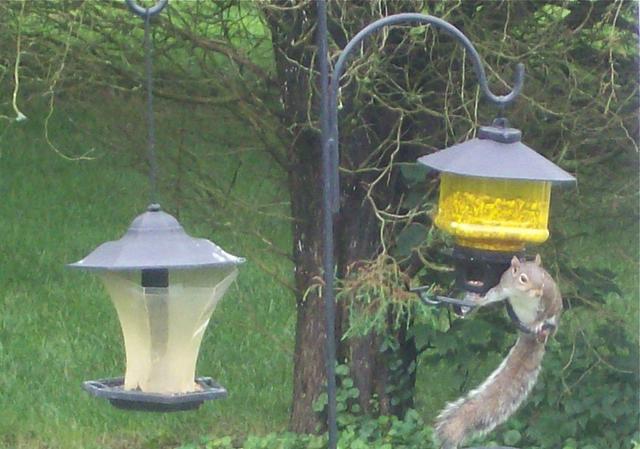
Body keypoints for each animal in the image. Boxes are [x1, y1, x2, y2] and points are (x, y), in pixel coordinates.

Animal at [434, 254, 563, 449]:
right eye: (523, 278)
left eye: (543, 276)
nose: (538, 292)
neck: (523, 296)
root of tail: (528, 337)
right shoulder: (504, 288)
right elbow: (492, 295)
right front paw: (478, 300)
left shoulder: (551, 296)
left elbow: (549, 310)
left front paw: (537, 321)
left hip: (549, 326)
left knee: (550, 328)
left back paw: (542, 332)